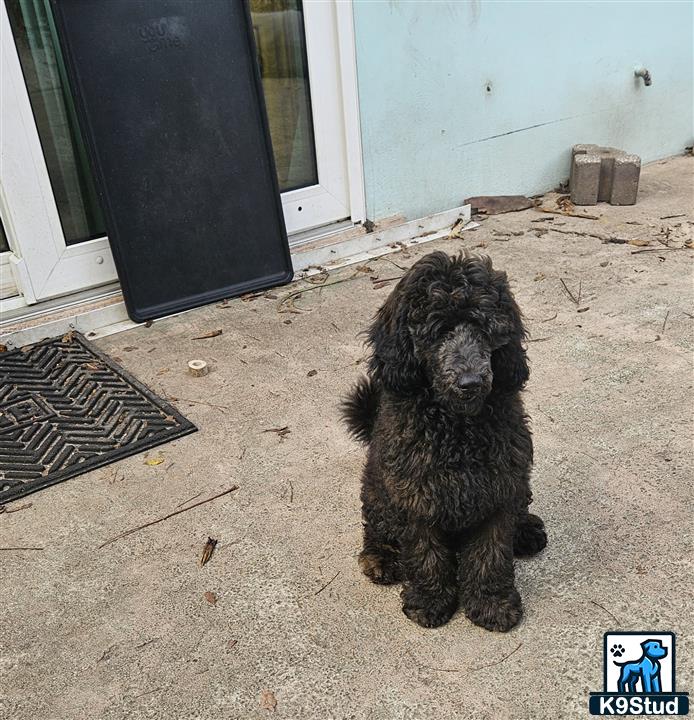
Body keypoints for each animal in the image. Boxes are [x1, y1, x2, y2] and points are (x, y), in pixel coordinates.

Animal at [342, 252, 548, 632]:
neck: (457, 427)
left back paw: (525, 530)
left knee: (519, 509)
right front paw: (429, 600)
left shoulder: (499, 486)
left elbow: (490, 552)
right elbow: (425, 554)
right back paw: (380, 558)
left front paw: (491, 603)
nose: (470, 382)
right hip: (376, 491)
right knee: (375, 528)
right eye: (438, 331)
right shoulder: (414, 495)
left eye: (484, 329)